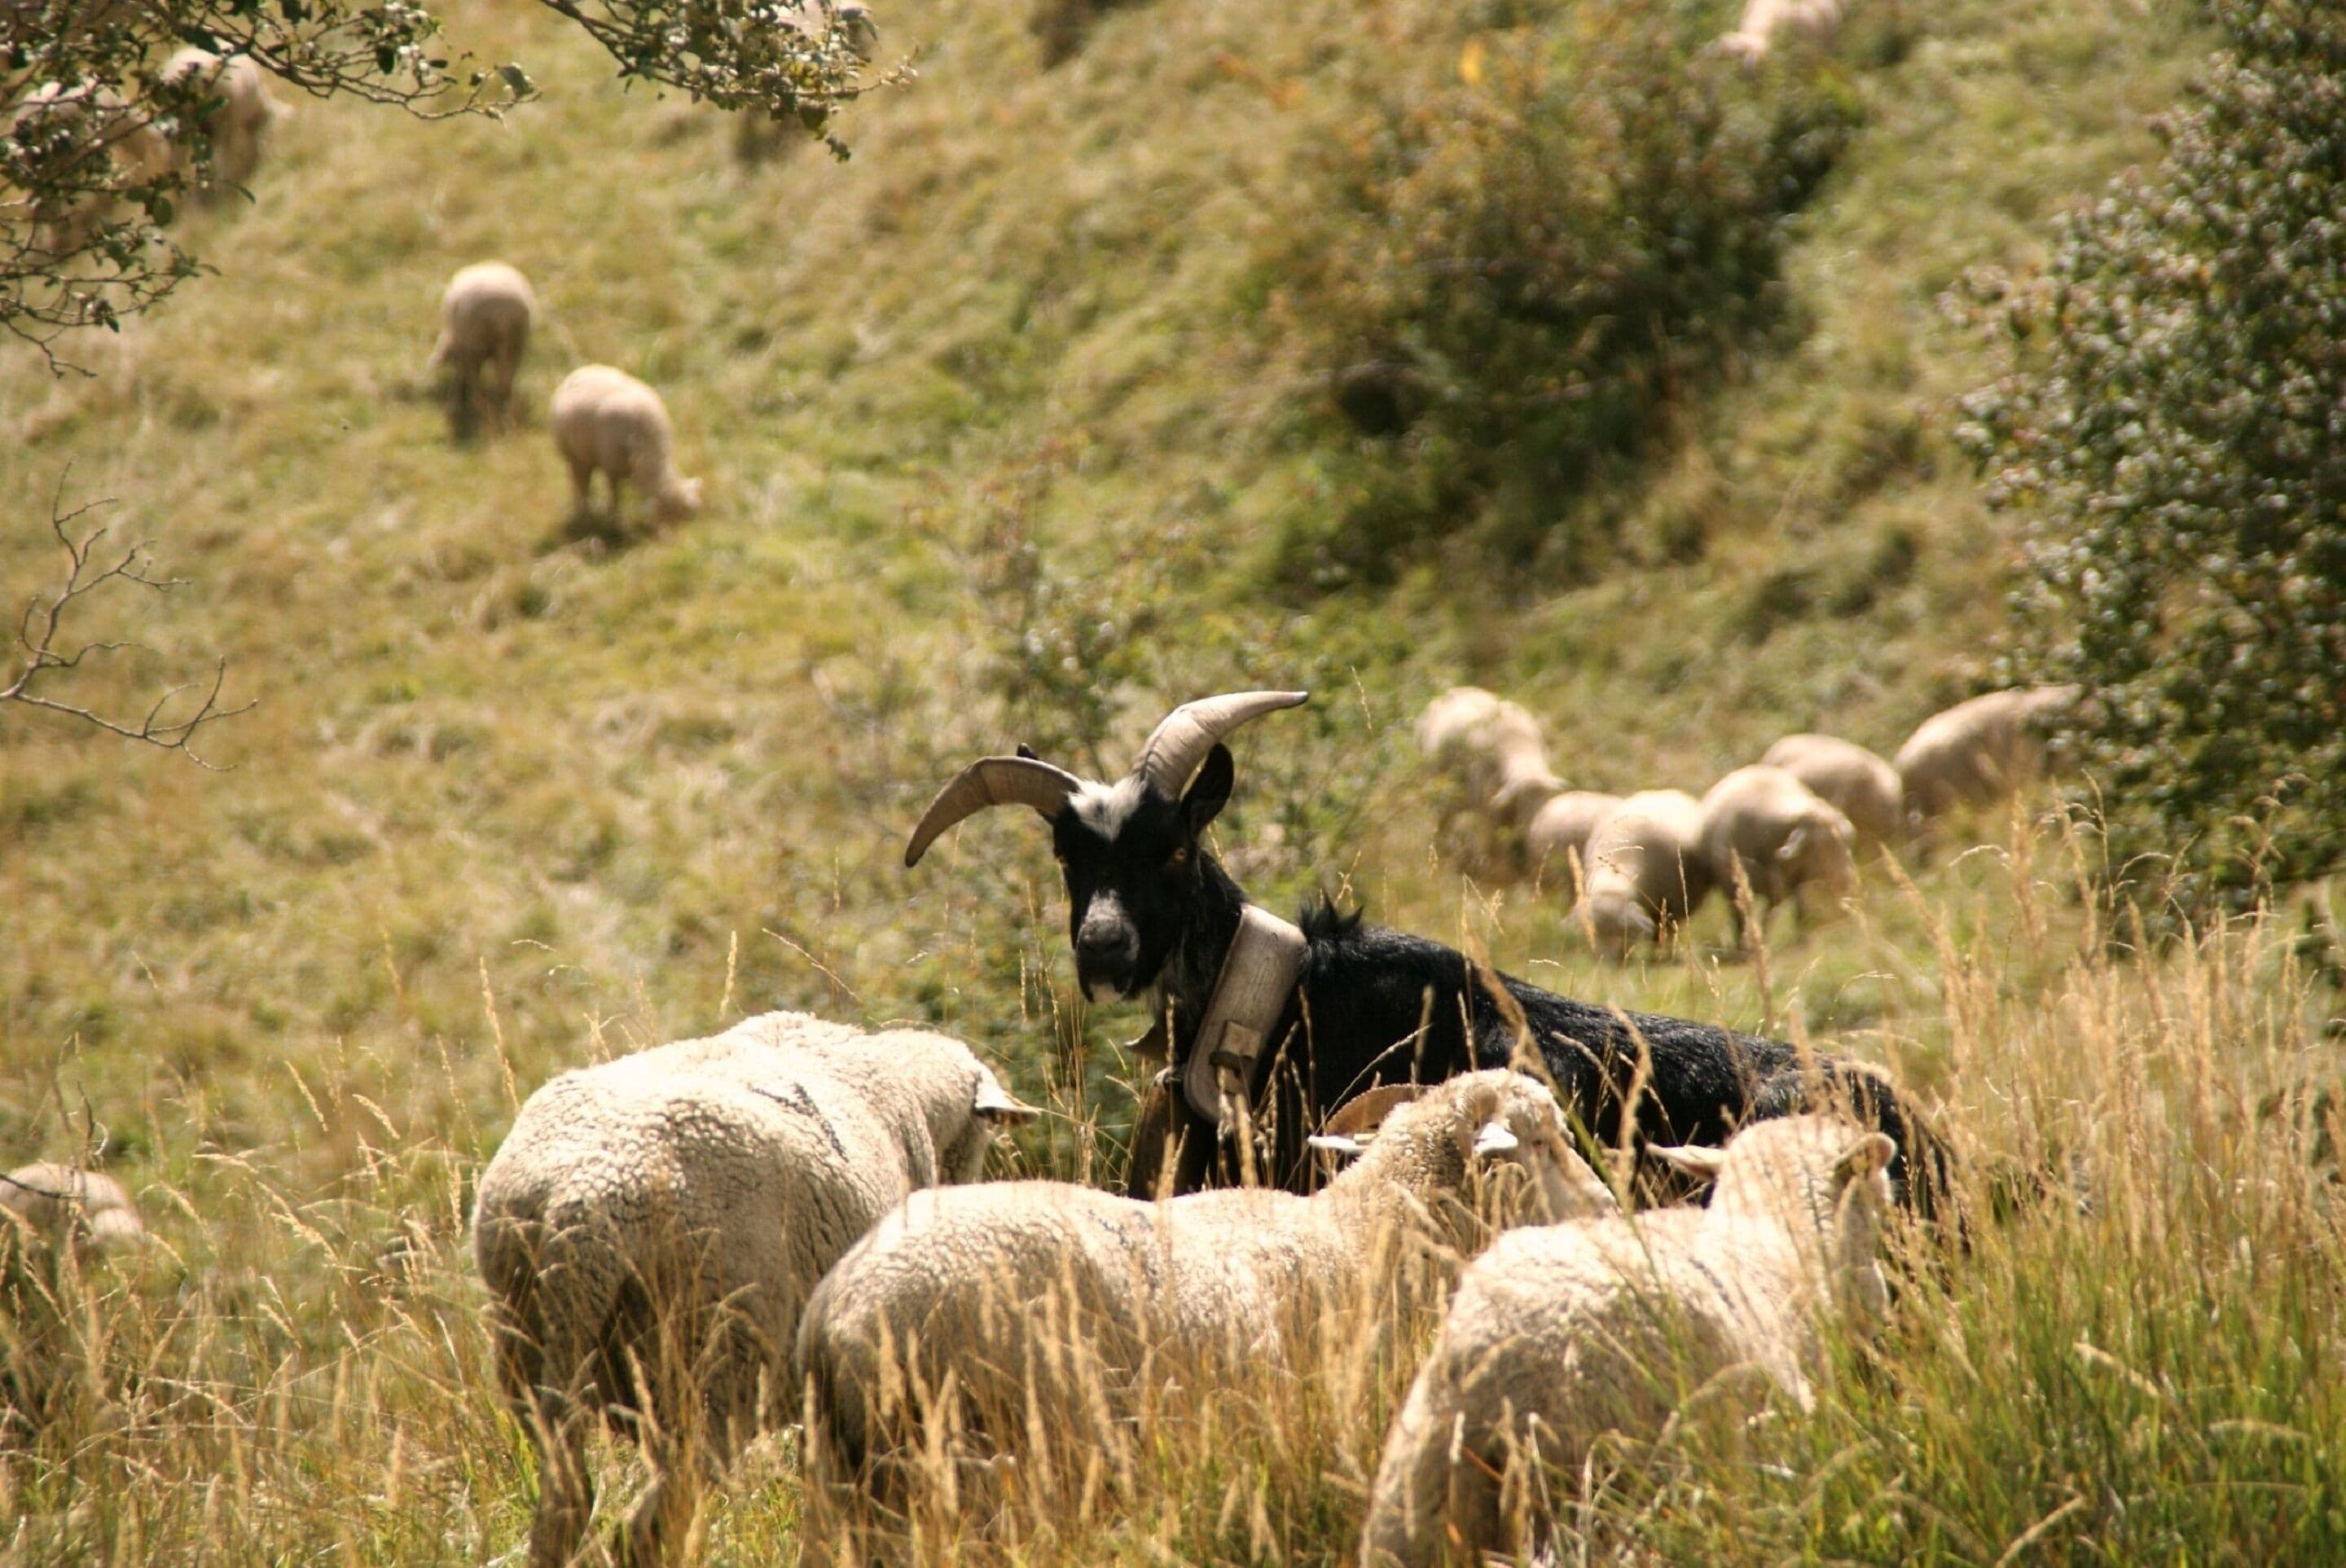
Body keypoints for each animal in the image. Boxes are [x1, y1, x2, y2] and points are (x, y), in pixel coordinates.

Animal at [428, 262, 534, 438]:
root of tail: (502, 313)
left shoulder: (464, 348)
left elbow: (462, 373)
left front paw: (455, 403)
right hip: (515, 343)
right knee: (505, 379)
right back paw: (504, 408)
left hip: (475, 341)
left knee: (476, 377)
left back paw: (478, 403)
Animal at [549, 364, 703, 530]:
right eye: (671, 514)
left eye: (692, 514)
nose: (682, 536)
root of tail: (580, 371)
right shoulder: (611, 467)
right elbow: (615, 496)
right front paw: (615, 522)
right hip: (574, 457)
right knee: (579, 484)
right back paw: (584, 514)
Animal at [1571, 788, 1714, 959]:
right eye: (1594, 930)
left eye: (1624, 930)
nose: (1606, 960)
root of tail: (1665, 791)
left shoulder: (1669, 903)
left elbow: (1662, 933)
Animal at [1697, 765, 1859, 943]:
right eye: (1819, 847)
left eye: (1847, 842)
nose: (1848, 880)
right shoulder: (1735, 887)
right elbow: (1749, 921)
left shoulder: (1790, 885)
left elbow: (1797, 914)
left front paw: (1802, 941)